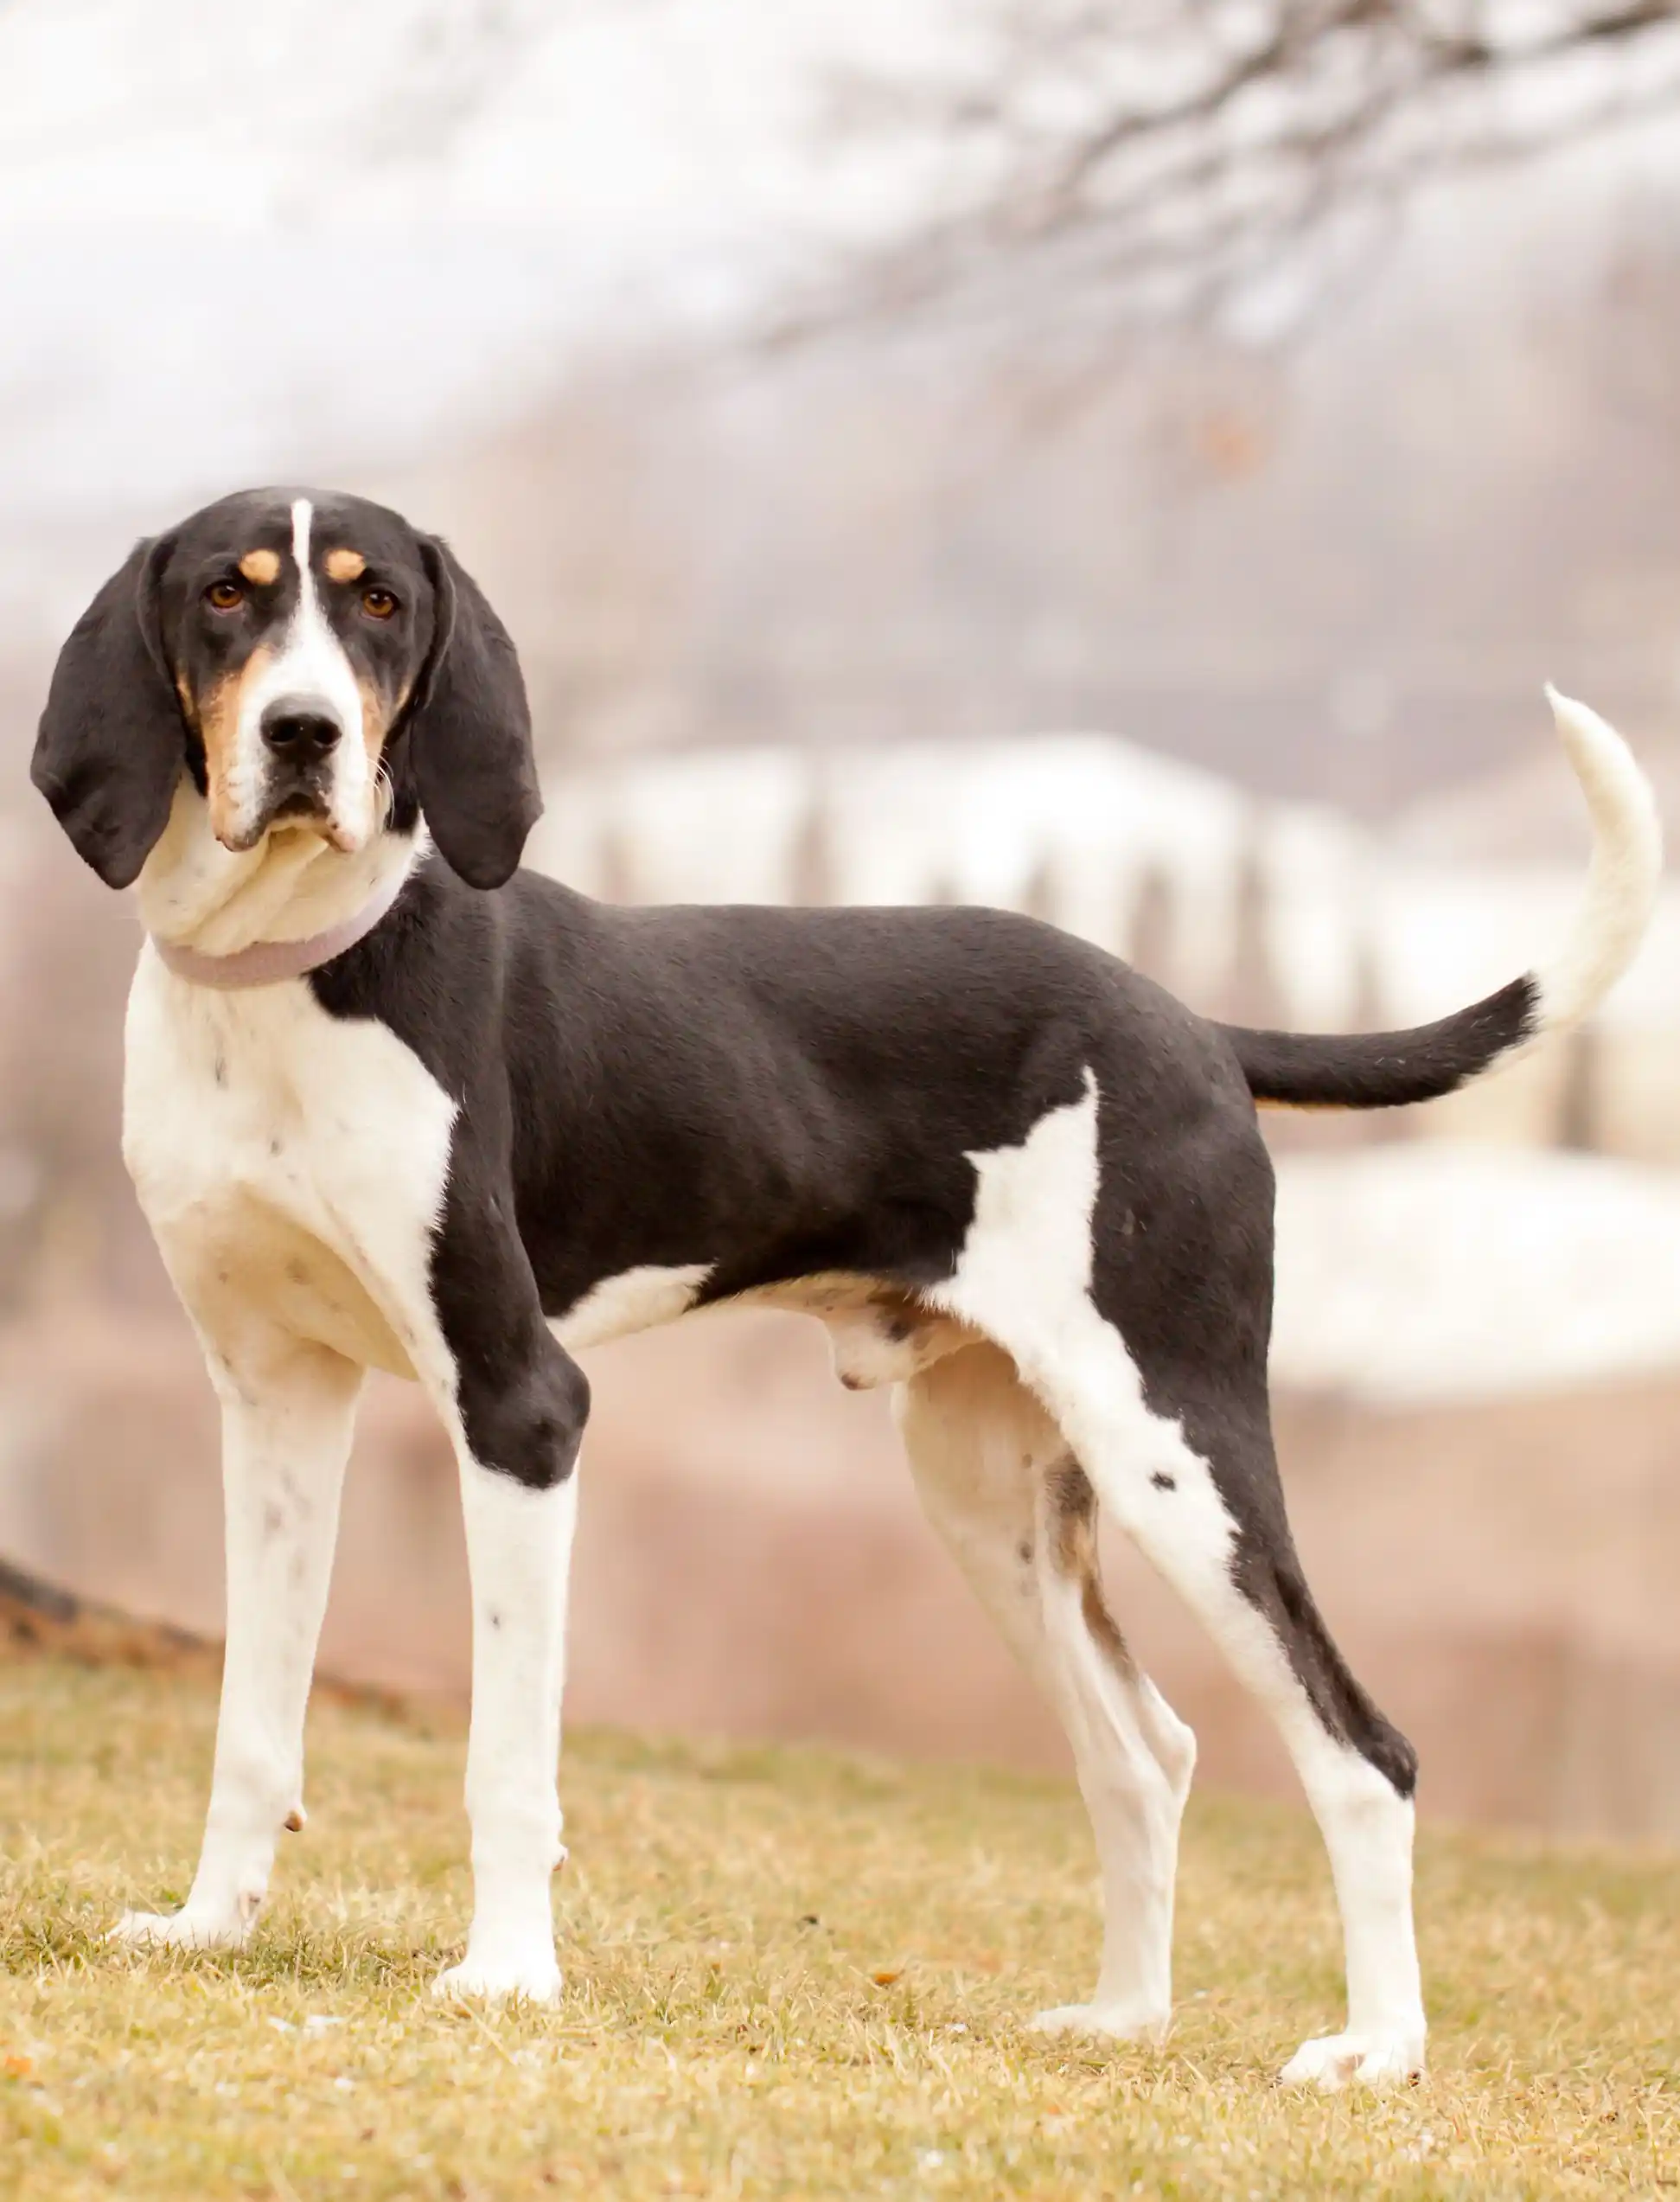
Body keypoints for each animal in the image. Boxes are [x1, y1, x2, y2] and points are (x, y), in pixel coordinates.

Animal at [33, 482, 1664, 2078]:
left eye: (377, 602)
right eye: (227, 595)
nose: (303, 733)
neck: (296, 973)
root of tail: (1195, 1027)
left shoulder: (518, 1407)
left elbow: (508, 1751)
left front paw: (503, 1978)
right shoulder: (274, 1402)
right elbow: (252, 1717)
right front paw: (207, 1930)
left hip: (1173, 1447)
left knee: (1360, 1749)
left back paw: (1376, 2048)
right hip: (988, 1493)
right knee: (1145, 1752)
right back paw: (1123, 2020)